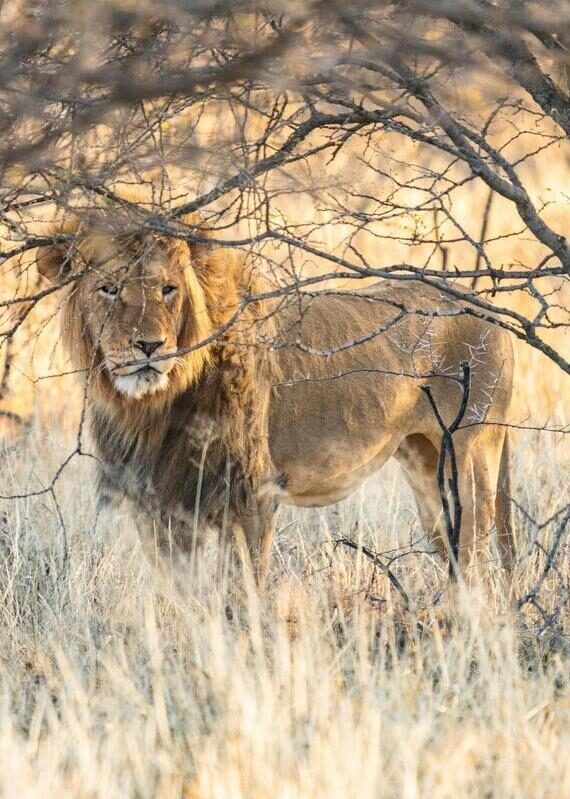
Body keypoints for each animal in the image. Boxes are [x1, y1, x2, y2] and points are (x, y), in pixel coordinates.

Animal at [36, 208, 516, 588]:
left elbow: (243, 591)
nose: (149, 346)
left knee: (476, 560)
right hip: (426, 469)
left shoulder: (250, 495)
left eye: (168, 289)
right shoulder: (158, 505)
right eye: (110, 289)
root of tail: (484, 304)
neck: (154, 405)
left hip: (472, 458)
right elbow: (183, 594)